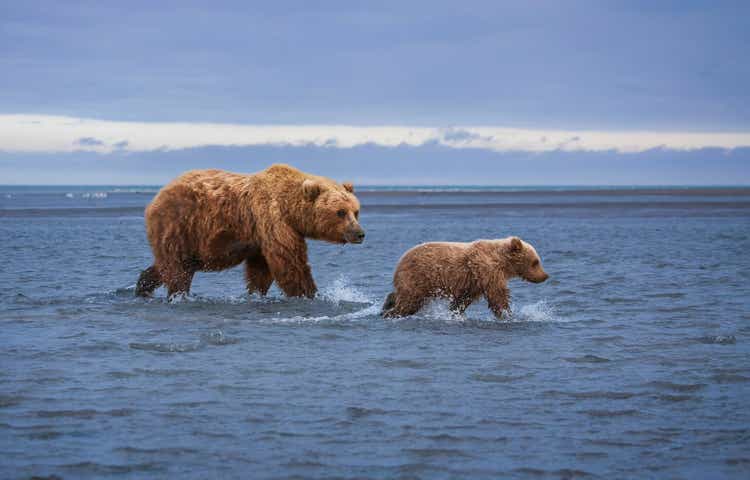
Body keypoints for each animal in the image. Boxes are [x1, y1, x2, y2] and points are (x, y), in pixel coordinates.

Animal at [138, 165, 368, 300]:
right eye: (340, 212)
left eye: (356, 211)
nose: (359, 233)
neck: (290, 209)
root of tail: (157, 196)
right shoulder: (273, 219)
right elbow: (290, 262)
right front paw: (309, 293)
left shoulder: (260, 238)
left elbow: (261, 270)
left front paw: (256, 293)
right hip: (180, 225)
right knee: (178, 269)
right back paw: (178, 294)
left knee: (167, 266)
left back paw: (142, 286)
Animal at [384, 237, 548, 318]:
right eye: (536, 262)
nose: (545, 276)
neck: (502, 262)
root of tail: (400, 261)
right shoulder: (486, 270)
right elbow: (497, 294)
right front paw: (507, 313)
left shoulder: (474, 281)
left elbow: (464, 298)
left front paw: (455, 311)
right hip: (418, 276)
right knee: (410, 301)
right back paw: (392, 313)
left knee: (401, 295)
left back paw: (387, 304)